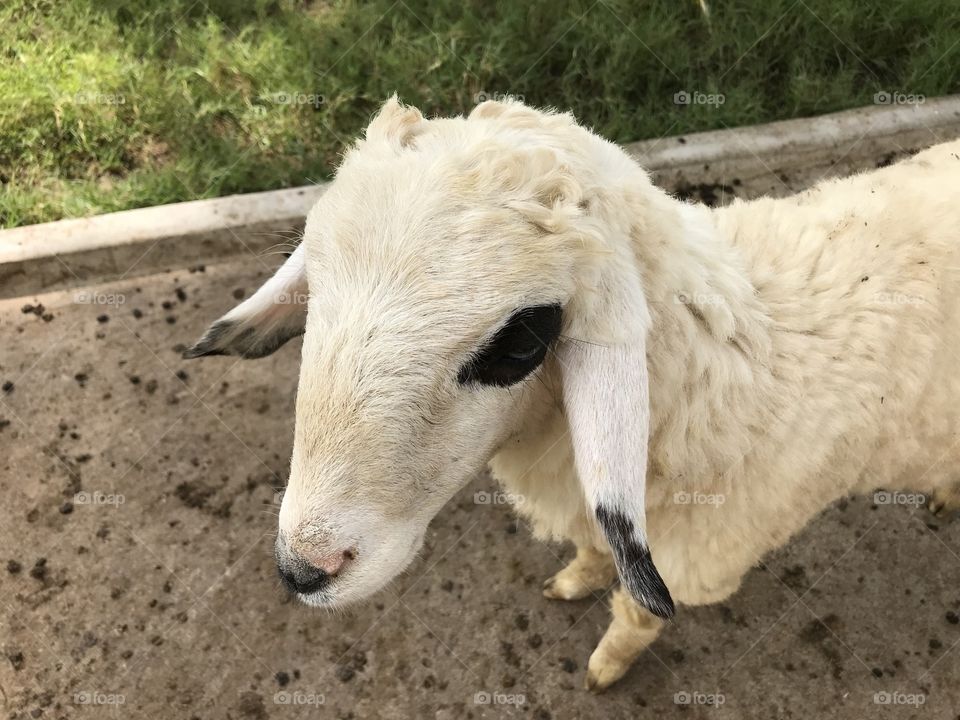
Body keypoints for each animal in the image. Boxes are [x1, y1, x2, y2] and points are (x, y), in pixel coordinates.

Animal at [186, 96, 960, 691]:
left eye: (523, 341)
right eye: (313, 287)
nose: (304, 569)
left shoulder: (695, 562)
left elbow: (637, 615)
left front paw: (605, 668)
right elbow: (592, 550)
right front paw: (575, 579)